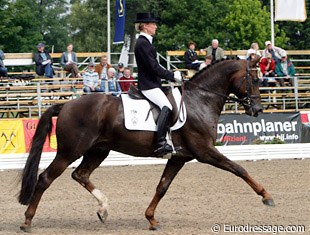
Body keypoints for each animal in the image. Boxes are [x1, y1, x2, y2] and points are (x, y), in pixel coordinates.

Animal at [18, 57, 274, 232]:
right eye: (254, 79)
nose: (258, 109)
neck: (200, 100)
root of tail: (67, 104)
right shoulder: (205, 151)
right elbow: (239, 168)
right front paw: (266, 196)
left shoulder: (179, 157)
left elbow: (162, 187)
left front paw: (151, 218)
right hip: (70, 151)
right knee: (46, 178)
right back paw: (27, 220)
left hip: (99, 150)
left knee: (80, 175)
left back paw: (103, 209)